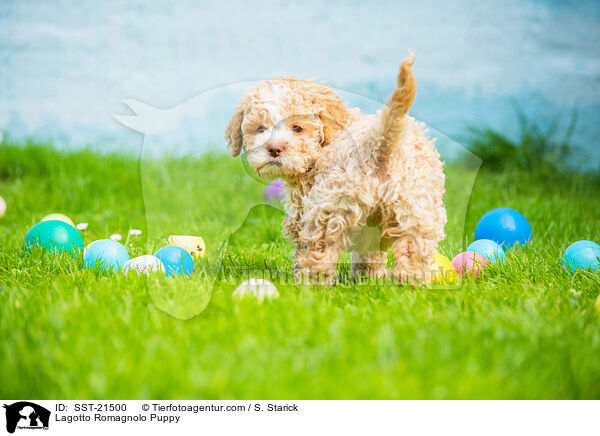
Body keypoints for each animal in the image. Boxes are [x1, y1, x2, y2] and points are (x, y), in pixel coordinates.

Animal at [225, 53, 446, 286]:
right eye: (261, 128)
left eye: (297, 128)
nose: (274, 148)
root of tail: (379, 143)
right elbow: (369, 253)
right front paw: (369, 279)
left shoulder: (304, 209)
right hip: (416, 208)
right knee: (413, 251)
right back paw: (411, 286)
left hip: (331, 206)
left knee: (319, 251)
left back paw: (308, 285)